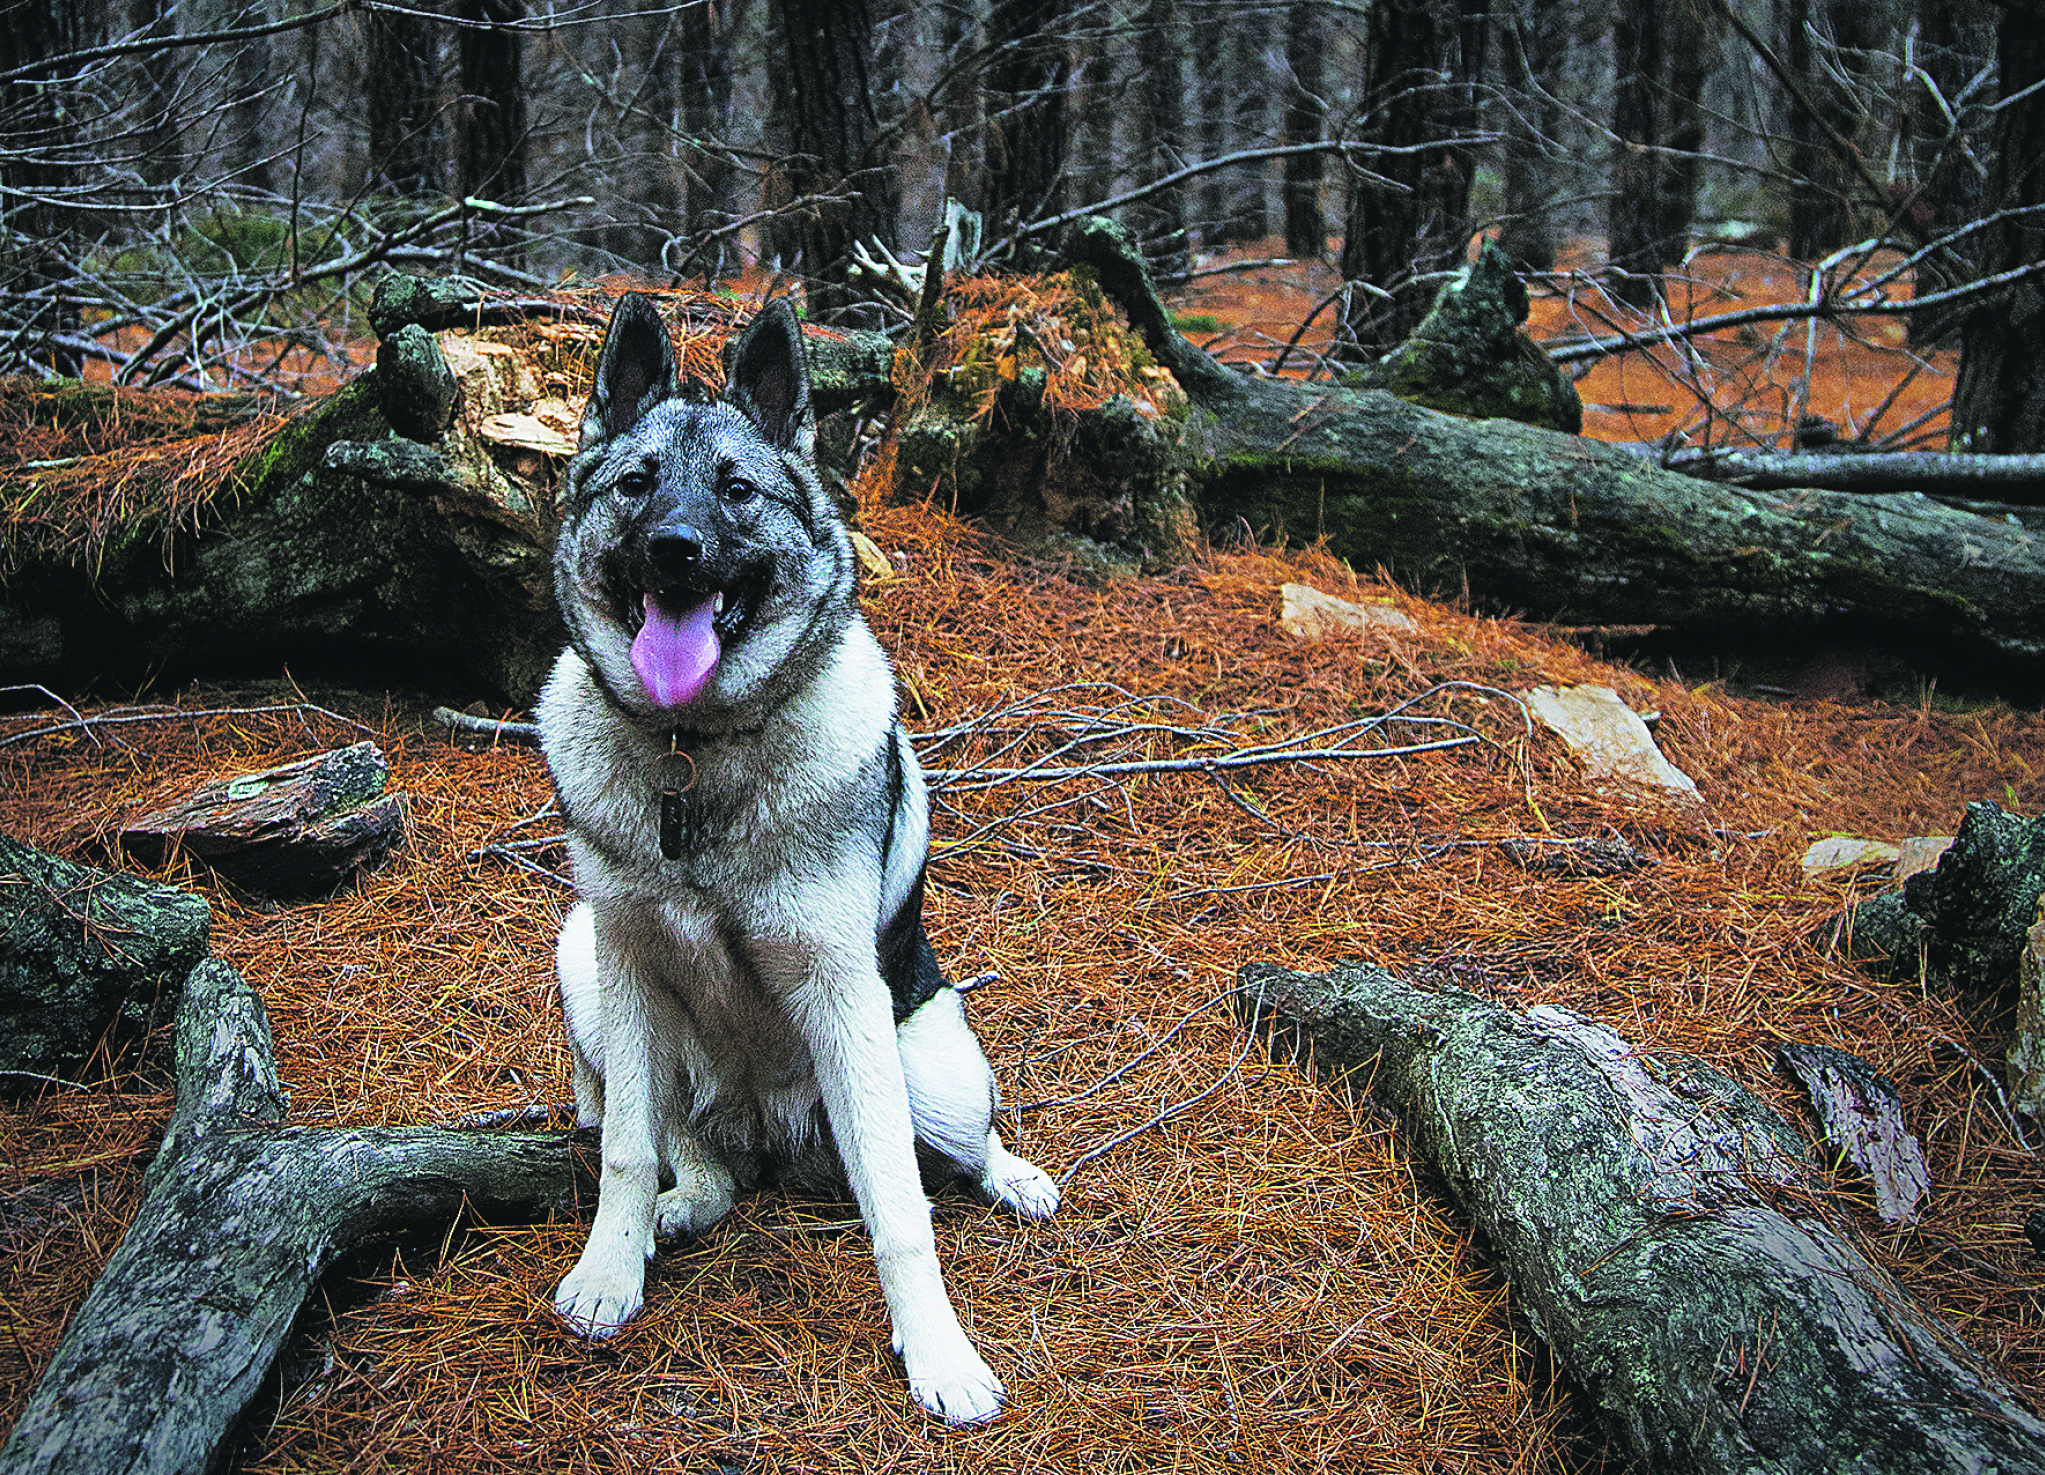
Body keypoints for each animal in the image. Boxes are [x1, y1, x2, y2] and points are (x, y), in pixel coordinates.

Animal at [535, 292, 1063, 1423]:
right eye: (637, 483)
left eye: (737, 489)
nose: (675, 548)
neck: (692, 751)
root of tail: (772, 1133)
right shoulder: (626, 963)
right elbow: (625, 1148)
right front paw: (609, 1270)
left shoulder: (842, 990)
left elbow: (900, 1209)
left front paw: (939, 1354)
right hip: (581, 963)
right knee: (692, 1154)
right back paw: (685, 1202)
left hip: (929, 1063)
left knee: (957, 1144)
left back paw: (1011, 1174)